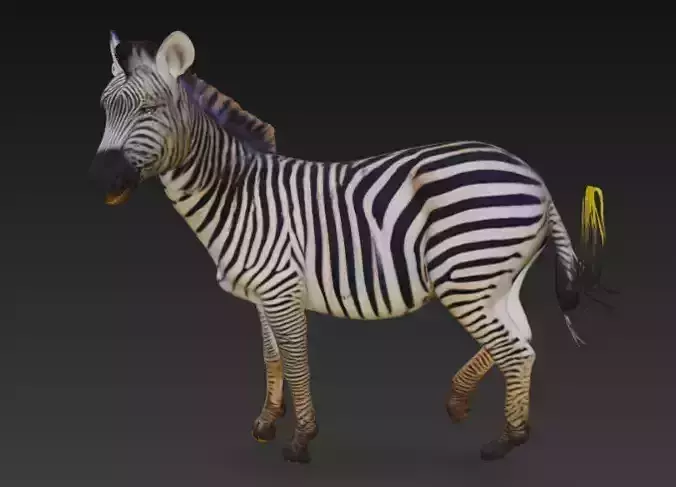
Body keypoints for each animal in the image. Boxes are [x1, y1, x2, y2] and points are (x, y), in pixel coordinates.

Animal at [89, 30, 610, 464]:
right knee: (523, 338)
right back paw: (463, 402)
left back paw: (505, 440)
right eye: (105, 109)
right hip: (495, 279)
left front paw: (300, 440)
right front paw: (266, 423)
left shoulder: (281, 290)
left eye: (149, 110)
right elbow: (271, 356)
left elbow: (296, 361)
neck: (239, 194)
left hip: (465, 276)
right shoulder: (262, 294)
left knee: (515, 350)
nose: (103, 180)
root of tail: (534, 177)